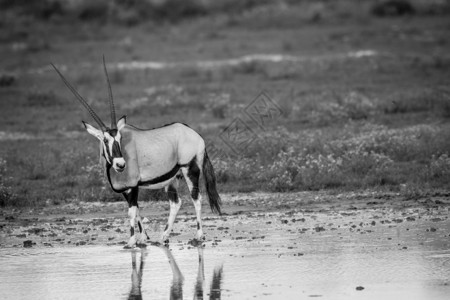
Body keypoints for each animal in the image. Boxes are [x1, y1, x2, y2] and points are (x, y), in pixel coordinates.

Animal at [52, 57, 221, 247]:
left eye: (120, 138)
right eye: (105, 140)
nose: (120, 164)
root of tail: (196, 135)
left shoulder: (133, 186)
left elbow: (132, 211)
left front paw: (132, 240)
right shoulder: (126, 190)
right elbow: (137, 210)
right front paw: (143, 238)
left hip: (189, 169)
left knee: (196, 198)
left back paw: (199, 235)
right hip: (173, 178)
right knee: (176, 203)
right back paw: (164, 236)